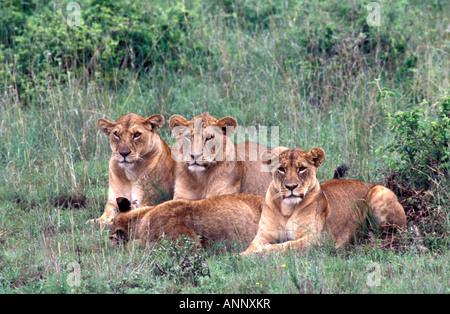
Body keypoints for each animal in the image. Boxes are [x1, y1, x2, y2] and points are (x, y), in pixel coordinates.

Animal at [243, 147, 408, 255]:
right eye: (281, 169)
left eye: (301, 169)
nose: (291, 187)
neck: (287, 209)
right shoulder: (263, 235)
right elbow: (251, 246)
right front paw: (243, 255)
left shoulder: (313, 239)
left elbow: (286, 246)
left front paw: (263, 251)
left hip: (379, 193)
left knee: (394, 233)